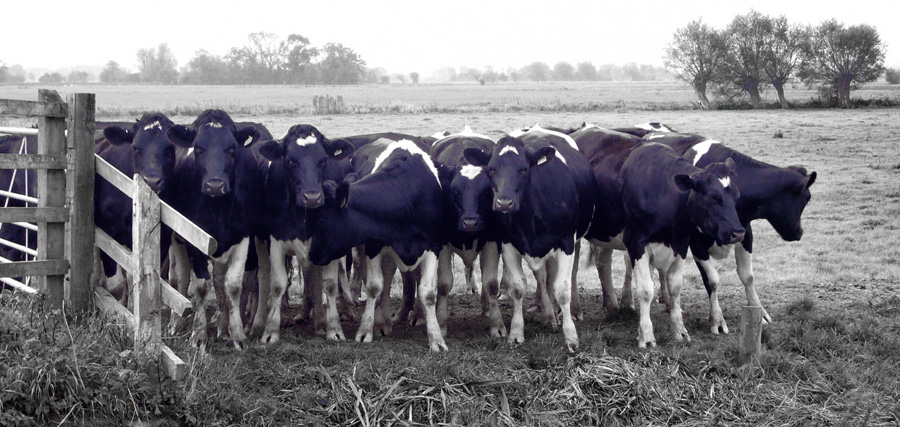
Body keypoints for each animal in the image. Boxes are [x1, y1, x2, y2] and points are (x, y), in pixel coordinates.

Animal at [165, 109, 268, 350]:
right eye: (198, 148)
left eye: (231, 149)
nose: (214, 185)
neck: (219, 207)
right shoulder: (196, 239)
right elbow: (201, 286)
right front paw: (199, 334)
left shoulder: (242, 236)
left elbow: (233, 285)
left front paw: (237, 334)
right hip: (177, 238)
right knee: (180, 278)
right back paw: (176, 323)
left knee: (220, 280)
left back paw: (222, 326)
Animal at [310, 137, 448, 352]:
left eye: (322, 219)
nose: (313, 254)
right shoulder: (374, 246)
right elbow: (375, 286)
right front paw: (365, 330)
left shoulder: (433, 247)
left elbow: (427, 293)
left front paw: (436, 339)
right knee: (385, 280)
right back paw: (382, 322)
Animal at [463, 125, 597, 351]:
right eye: (491, 169)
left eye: (523, 169)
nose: (504, 203)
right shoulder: (508, 244)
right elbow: (519, 287)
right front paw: (516, 333)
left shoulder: (566, 242)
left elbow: (562, 289)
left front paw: (571, 337)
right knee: (543, 278)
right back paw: (550, 315)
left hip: (576, 242)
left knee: (569, 276)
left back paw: (570, 312)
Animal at [641, 132, 816, 333]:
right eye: (808, 197)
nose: (799, 232)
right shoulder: (696, 243)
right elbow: (712, 281)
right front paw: (717, 319)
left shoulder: (745, 233)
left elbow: (748, 276)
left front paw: (759, 311)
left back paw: (667, 299)